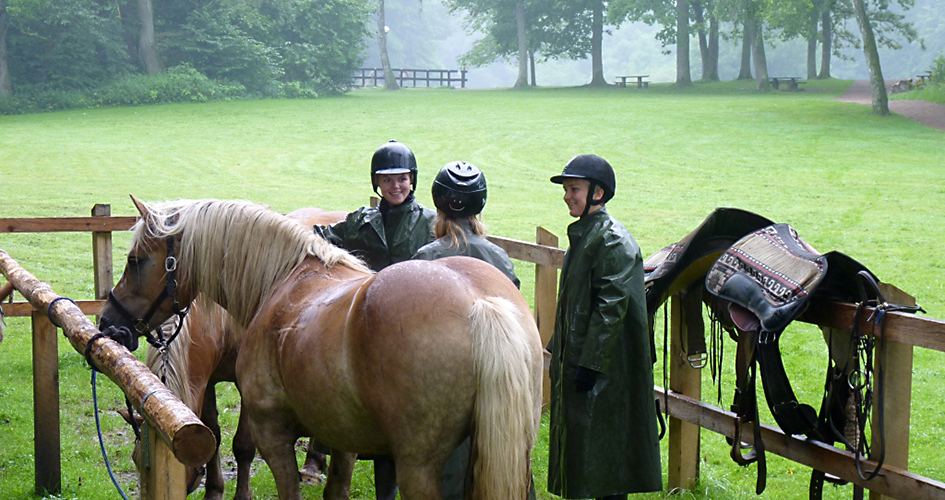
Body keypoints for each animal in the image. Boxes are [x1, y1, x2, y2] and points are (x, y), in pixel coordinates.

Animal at [99, 196, 544, 500]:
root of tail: (479, 303)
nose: (108, 323)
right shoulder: (345, 435)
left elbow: (256, 458)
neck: (283, 278)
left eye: (135, 260)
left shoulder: (272, 432)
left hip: (418, 468)